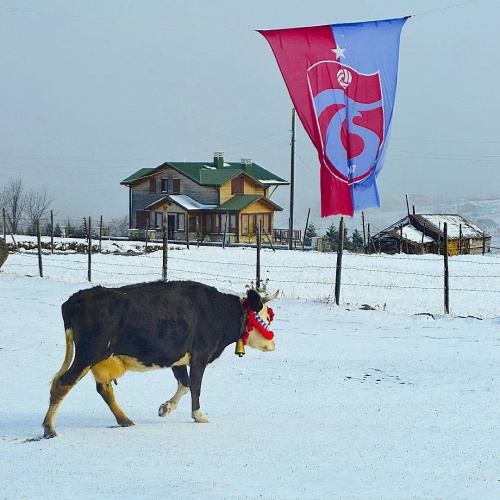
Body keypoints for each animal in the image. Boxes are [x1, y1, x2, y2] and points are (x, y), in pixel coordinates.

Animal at [43, 282, 278, 438]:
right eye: (266, 317)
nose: (273, 344)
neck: (216, 311)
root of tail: (75, 300)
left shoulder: (178, 358)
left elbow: (185, 384)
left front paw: (165, 408)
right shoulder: (200, 355)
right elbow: (195, 386)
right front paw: (199, 415)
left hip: (99, 359)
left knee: (103, 388)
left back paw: (124, 420)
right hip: (88, 355)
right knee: (62, 383)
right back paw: (49, 428)